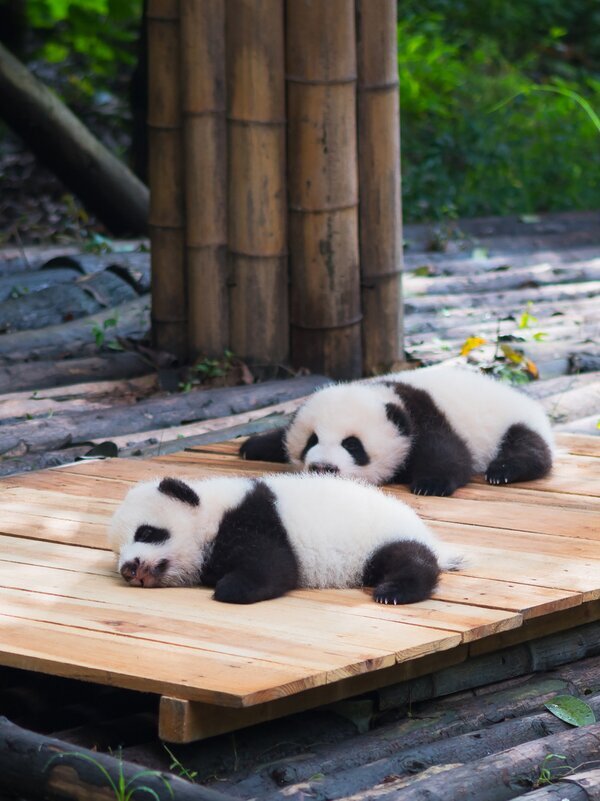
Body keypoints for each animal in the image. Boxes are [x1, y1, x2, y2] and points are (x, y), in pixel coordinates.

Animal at [108, 473, 463, 605]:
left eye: (146, 532)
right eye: (118, 551)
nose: (129, 568)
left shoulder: (253, 520)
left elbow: (275, 569)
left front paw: (228, 588)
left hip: (381, 537)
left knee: (408, 559)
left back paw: (393, 591)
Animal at [240, 365, 554, 497]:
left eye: (352, 445)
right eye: (311, 440)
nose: (323, 467)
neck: (387, 396)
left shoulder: (425, 418)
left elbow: (450, 456)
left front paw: (430, 485)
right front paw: (252, 446)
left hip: (514, 422)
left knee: (528, 448)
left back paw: (502, 471)